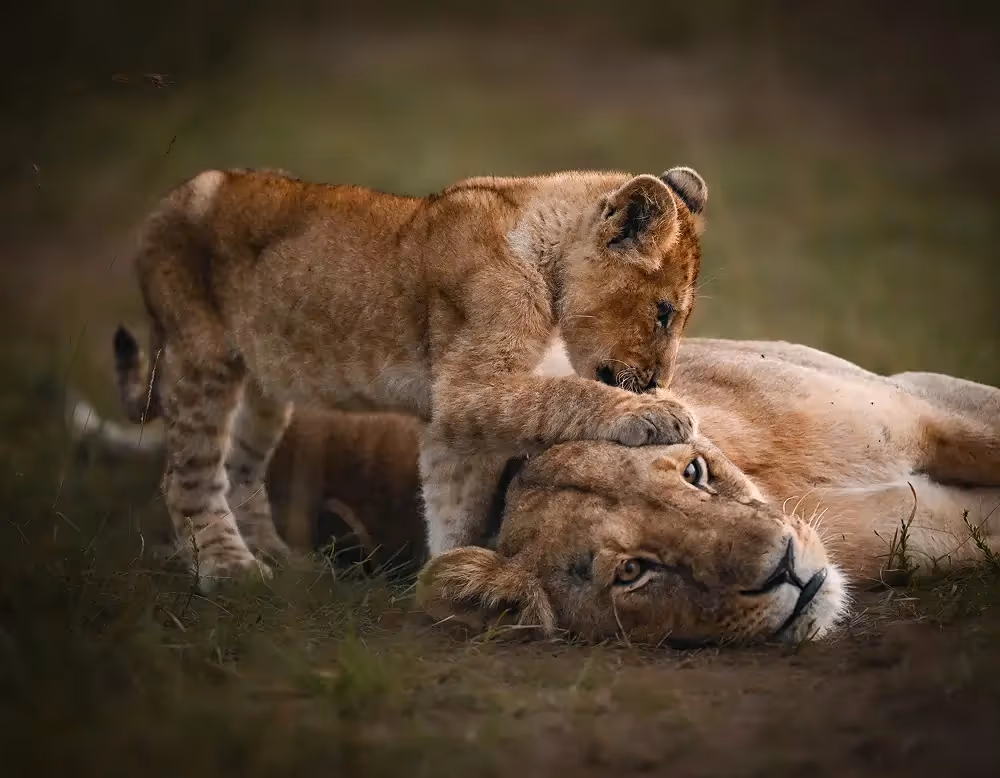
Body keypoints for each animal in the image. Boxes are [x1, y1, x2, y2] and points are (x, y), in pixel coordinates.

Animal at [113, 165, 709, 588]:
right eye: (664, 313)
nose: (656, 381)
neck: (543, 244)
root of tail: (171, 198)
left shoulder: (452, 420)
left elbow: (454, 505)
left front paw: (450, 578)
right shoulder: (466, 390)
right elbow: (568, 392)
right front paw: (657, 412)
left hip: (264, 386)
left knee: (240, 470)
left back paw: (282, 560)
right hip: (201, 355)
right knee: (188, 476)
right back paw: (230, 569)